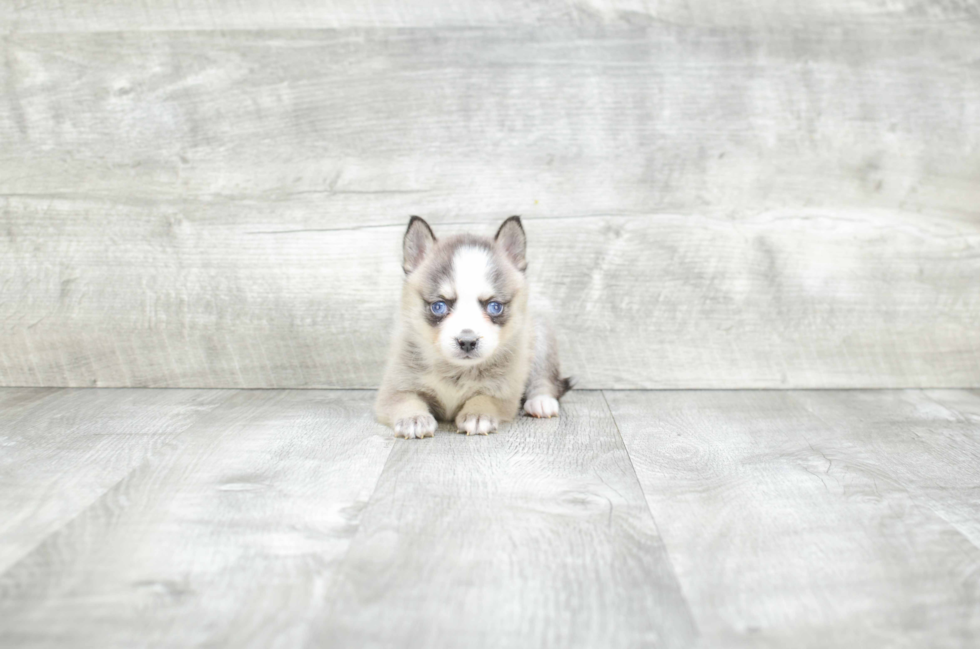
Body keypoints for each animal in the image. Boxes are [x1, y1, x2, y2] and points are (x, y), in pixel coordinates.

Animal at [376, 215, 576, 438]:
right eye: (438, 306)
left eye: (494, 306)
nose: (467, 342)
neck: (455, 371)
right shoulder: (394, 388)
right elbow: (405, 400)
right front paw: (413, 418)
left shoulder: (504, 392)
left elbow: (485, 397)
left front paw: (478, 414)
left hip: (540, 338)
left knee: (544, 378)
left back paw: (541, 401)